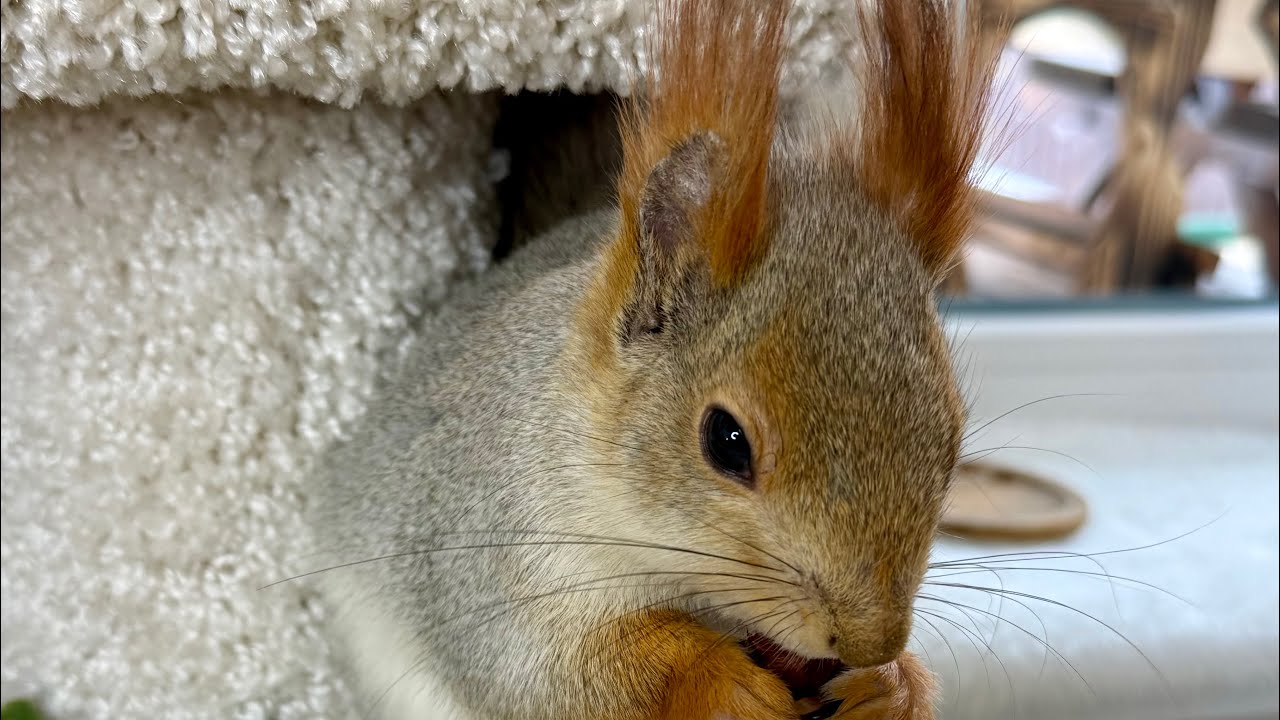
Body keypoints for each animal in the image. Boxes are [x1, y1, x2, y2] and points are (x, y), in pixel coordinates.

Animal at [308, 0, 1001, 718]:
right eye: (726, 441)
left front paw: (889, 684)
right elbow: (549, 674)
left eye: (953, 445)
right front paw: (722, 684)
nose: (869, 641)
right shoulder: (488, 550)